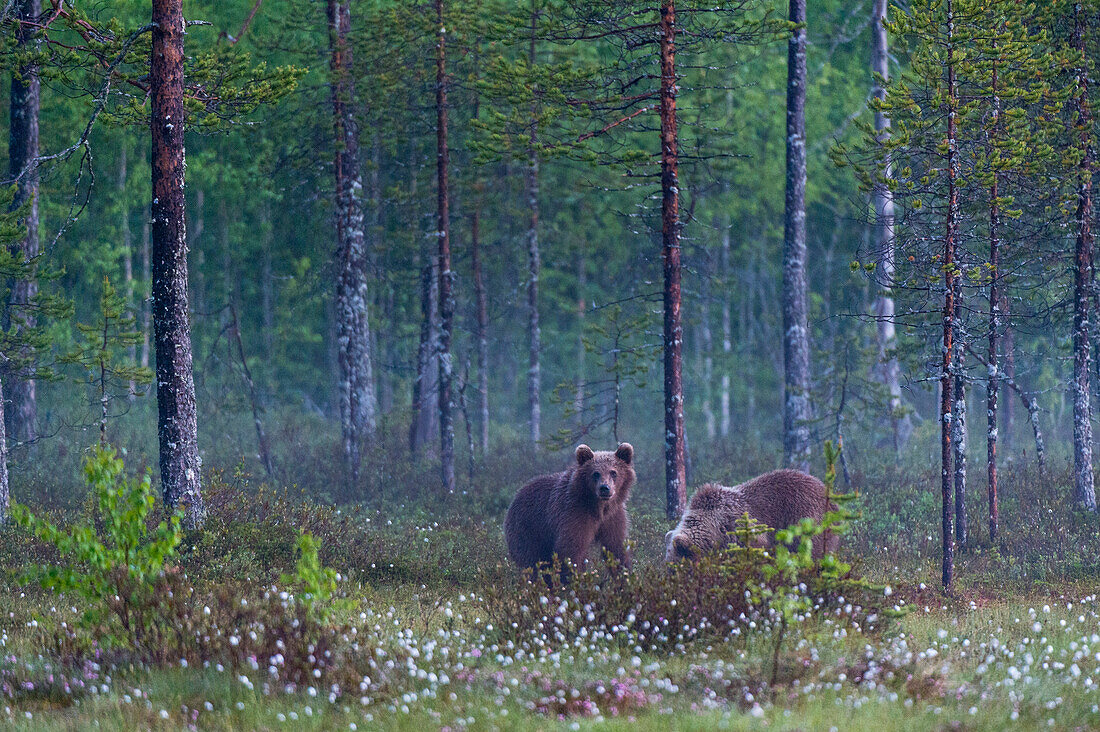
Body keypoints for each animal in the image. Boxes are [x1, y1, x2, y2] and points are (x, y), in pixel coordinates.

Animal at [503, 440, 633, 581]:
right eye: (596, 473)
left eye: (613, 472)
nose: (604, 488)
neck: (599, 507)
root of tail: (516, 496)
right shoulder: (575, 514)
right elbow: (571, 549)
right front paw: (576, 579)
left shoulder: (613, 517)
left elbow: (616, 548)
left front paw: (625, 576)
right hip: (528, 530)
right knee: (533, 562)